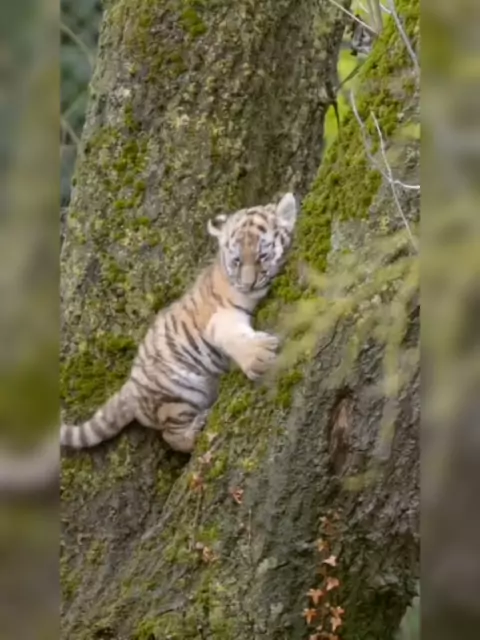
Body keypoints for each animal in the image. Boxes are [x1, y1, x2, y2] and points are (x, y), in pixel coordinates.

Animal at [60, 192, 298, 454]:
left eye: (262, 256)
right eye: (236, 260)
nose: (248, 284)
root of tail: (130, 388)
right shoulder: (218, 317)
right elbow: (233, 336)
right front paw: (258, 357)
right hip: (178, 395)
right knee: (171, 436)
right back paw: (196, 429)